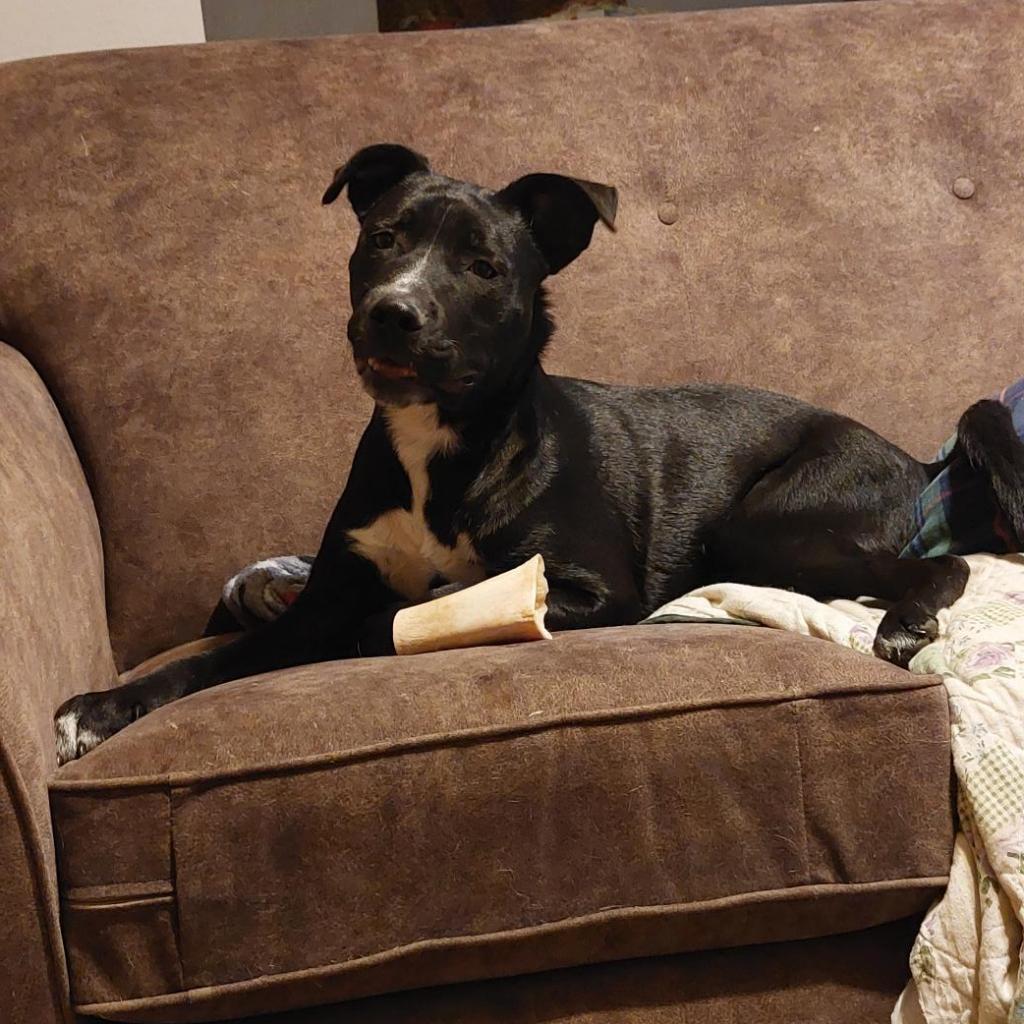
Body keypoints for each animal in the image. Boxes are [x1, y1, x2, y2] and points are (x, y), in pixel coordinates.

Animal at [56, 146, 1024, 770]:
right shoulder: (323, 599)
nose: (392, 313)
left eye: (484, 267)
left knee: (937, 568)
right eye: (382, 239)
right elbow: (213, 659)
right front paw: (102, 709)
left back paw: (906, 620)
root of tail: (915, 462)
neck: (442, 442)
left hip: (764, 527)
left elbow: (416, 608)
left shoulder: (593, 591)